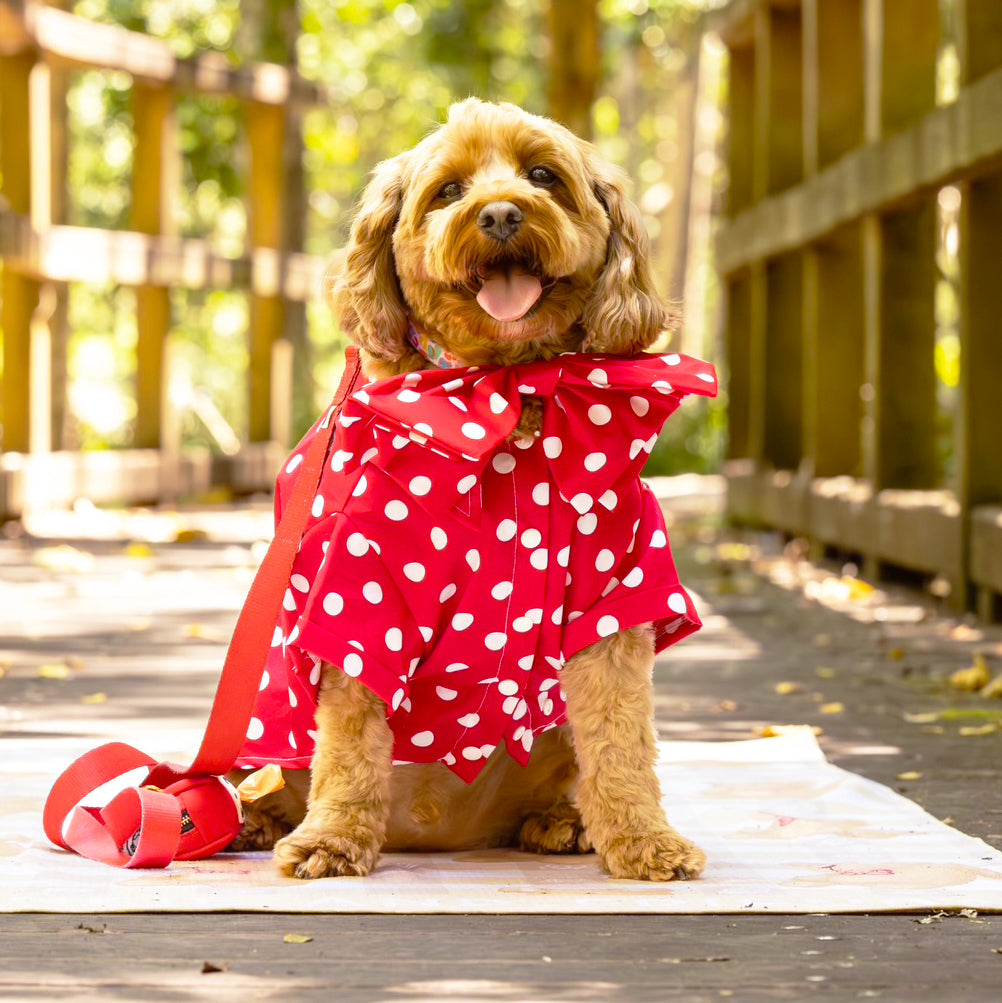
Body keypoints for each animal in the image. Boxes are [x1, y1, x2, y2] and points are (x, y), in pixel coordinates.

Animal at [227, 99, 714, 878]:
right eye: (449, 191)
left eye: (543, 176)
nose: (502, 214)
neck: (505, 388)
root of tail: (439, 835)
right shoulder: (360, 600)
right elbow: (350, 743)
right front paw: (332, 837)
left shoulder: (614, 603)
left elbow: (622, 743)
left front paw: (645, 840)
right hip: (265, 741)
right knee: (263, 776)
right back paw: (246, 818)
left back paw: (562, 822)